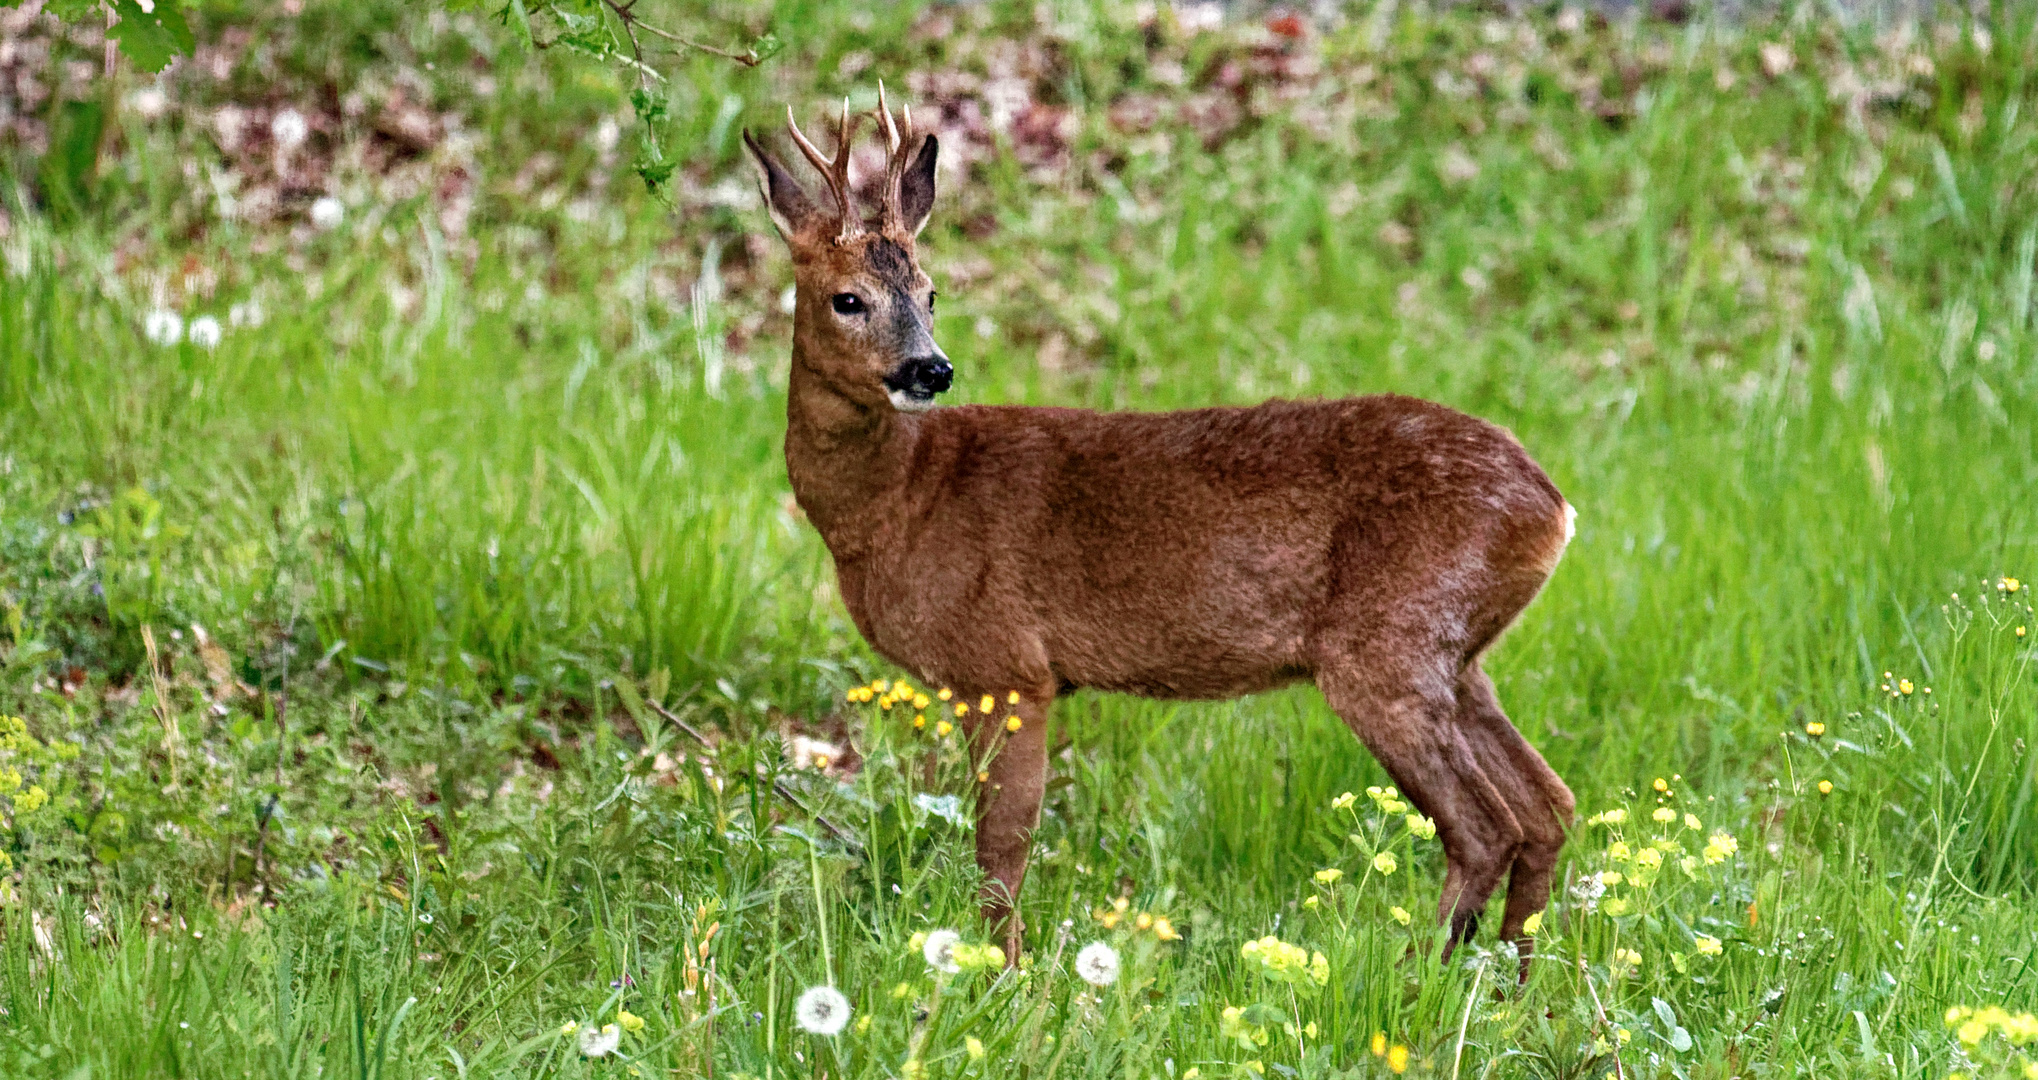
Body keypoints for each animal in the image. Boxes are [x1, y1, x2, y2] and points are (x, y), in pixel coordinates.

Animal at [749, 88, 1573, 969]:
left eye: (931, 293)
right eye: (848, 298)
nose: (929, 369)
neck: (897, 501)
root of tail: (1553, 507)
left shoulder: (1005, 663)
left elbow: (1002, 845)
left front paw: (1002, 973)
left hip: (1389, 643)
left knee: (1486, 825)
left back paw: (1418, 977)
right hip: (1458, 655)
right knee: (1548, 807)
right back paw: (1513, 987)